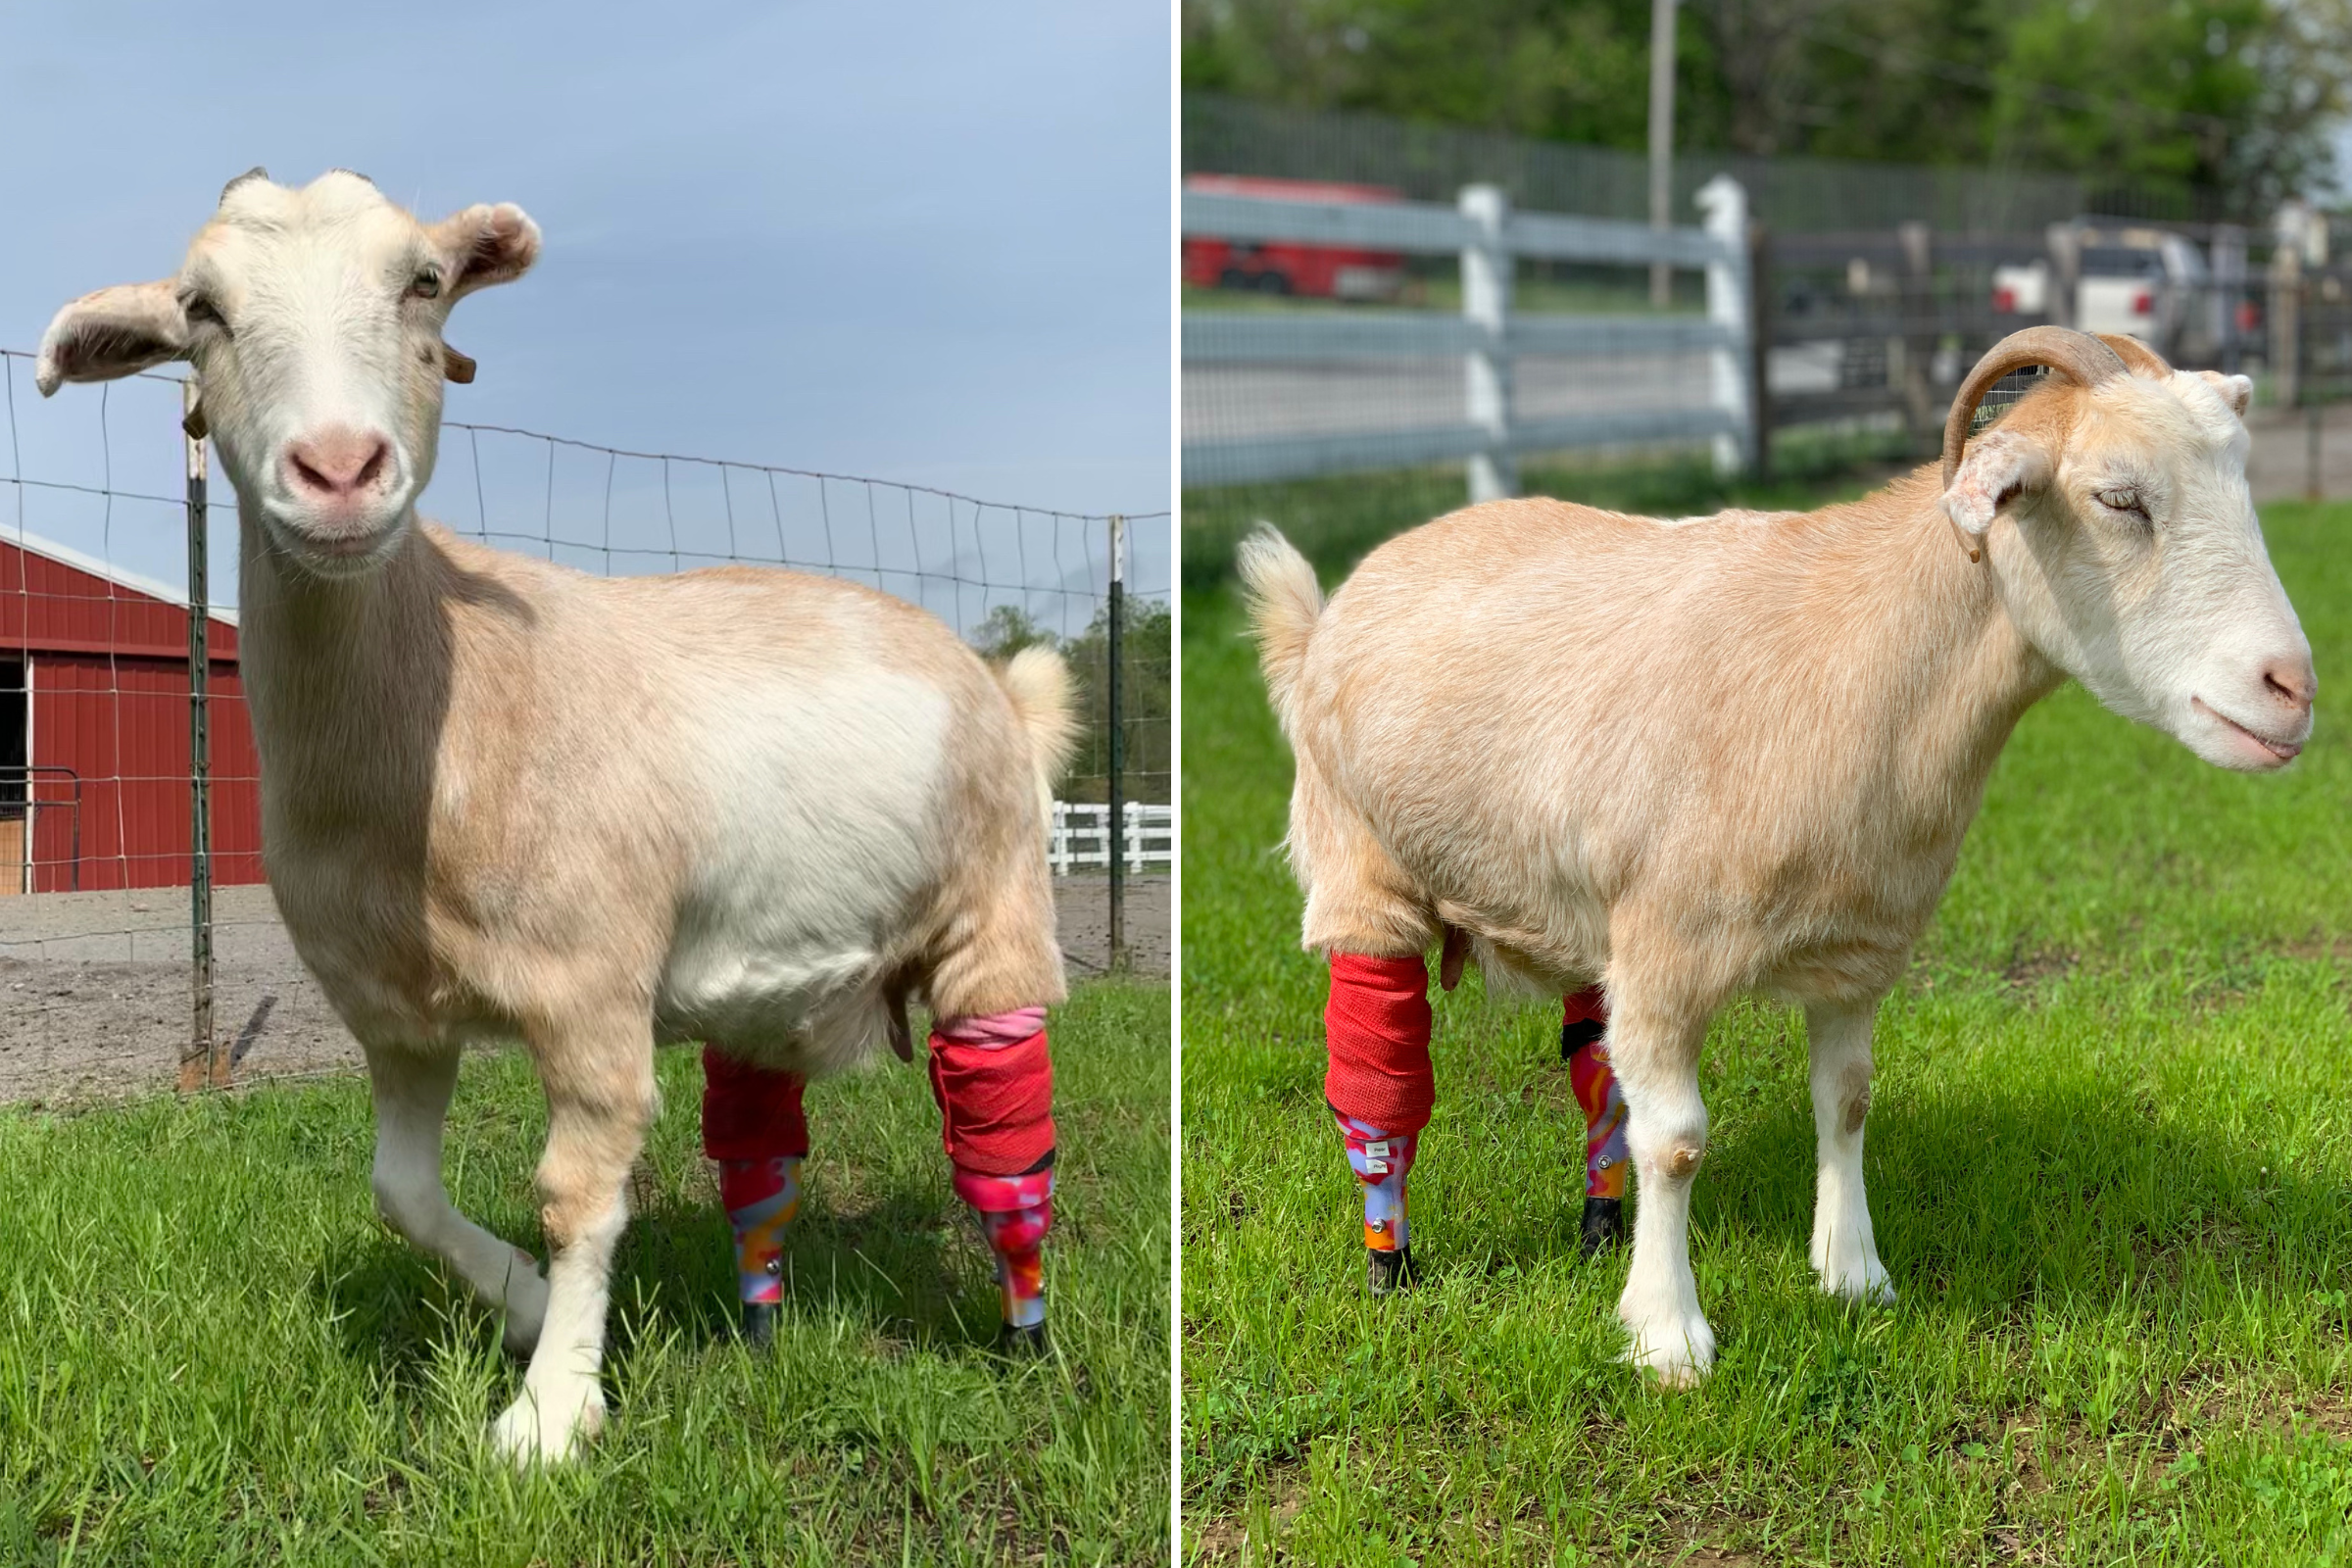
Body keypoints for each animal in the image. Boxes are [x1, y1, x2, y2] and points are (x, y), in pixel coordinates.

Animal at [36, 170, 1076, 1461]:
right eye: (201, 309)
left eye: (424, 281)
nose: (340, 470)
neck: (451, 711)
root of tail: (1004, 687)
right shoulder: (393, 1011)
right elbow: (401, 1192)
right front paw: (526, 1308)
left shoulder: (590, 990)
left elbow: (576, 1194)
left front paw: (553, 1412)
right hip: (764, 974)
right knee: (761, 1152)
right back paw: (760, 1326)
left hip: (994, 918)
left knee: (1005, 1154)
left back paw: (1026, 1332)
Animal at [1242, 326, 2314, 1387]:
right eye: (2119, 498)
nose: (2294, 688)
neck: (1863, 655)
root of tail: (1331, 608)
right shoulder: (1668, 956)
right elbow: (1677, 1144)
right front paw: (1668, 1336)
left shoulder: (1857, 952)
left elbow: (1846, 1104)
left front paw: (1852, 1274)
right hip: (1362, 869)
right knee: (1381, 1094)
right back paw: (1391, 1264)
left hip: (1584, 906)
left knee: (1596, 1075)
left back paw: (1599, 1226)